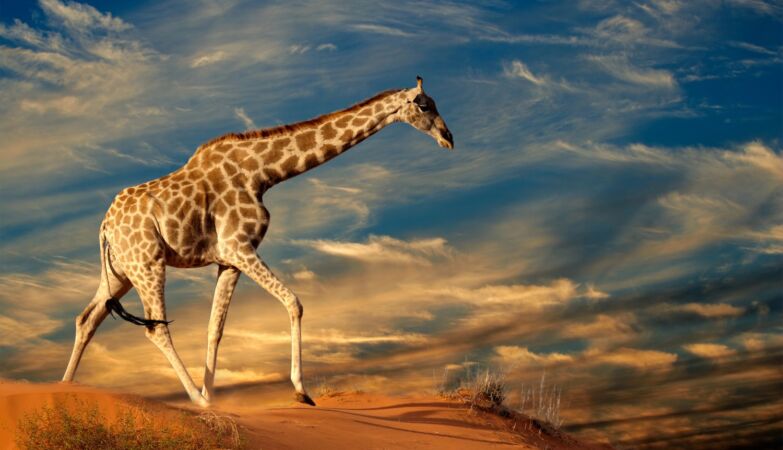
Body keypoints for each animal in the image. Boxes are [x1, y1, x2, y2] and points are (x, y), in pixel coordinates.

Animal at [62, 76, 453, 407]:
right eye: (424, 105)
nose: (448, 137)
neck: (264, 173)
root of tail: (104, 226)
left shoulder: (228, 260)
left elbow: (215, 329)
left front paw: (215, 395)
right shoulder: (239, 246)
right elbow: (294, 302)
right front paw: (300, 392)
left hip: (120, 271)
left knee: (87, 319)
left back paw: (65, 388)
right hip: (147, 263)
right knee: (155, 328)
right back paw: (196, 401)